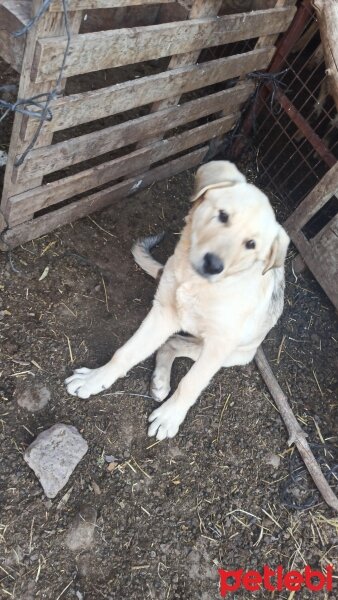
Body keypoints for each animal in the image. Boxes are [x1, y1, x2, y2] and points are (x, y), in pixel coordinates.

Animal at [64, 162, 290, 438]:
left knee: (174, 345)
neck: (197, 285)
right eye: (223, 216)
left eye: (251, 244)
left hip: (237, 354)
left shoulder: (218, 346)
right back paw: (160, 382)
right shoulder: (163, 314)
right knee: (170, 342)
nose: (213, 265)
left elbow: (191, 382)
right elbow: (125, 352)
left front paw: (170, 417)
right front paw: (95, 379)